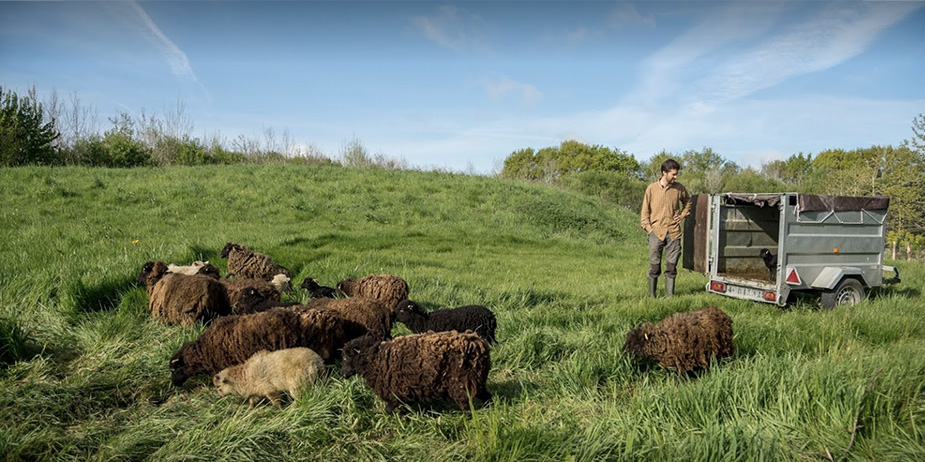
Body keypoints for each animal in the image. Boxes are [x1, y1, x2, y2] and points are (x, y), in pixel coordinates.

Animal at [341, 330, 492, 413]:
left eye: (346, 357)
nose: (342, 374)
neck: (375, 359)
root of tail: (477, 343)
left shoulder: (396, 392)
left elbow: (388, 410)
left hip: (462, 383)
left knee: (467, 406)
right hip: (477, 380)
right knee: (487, 396)